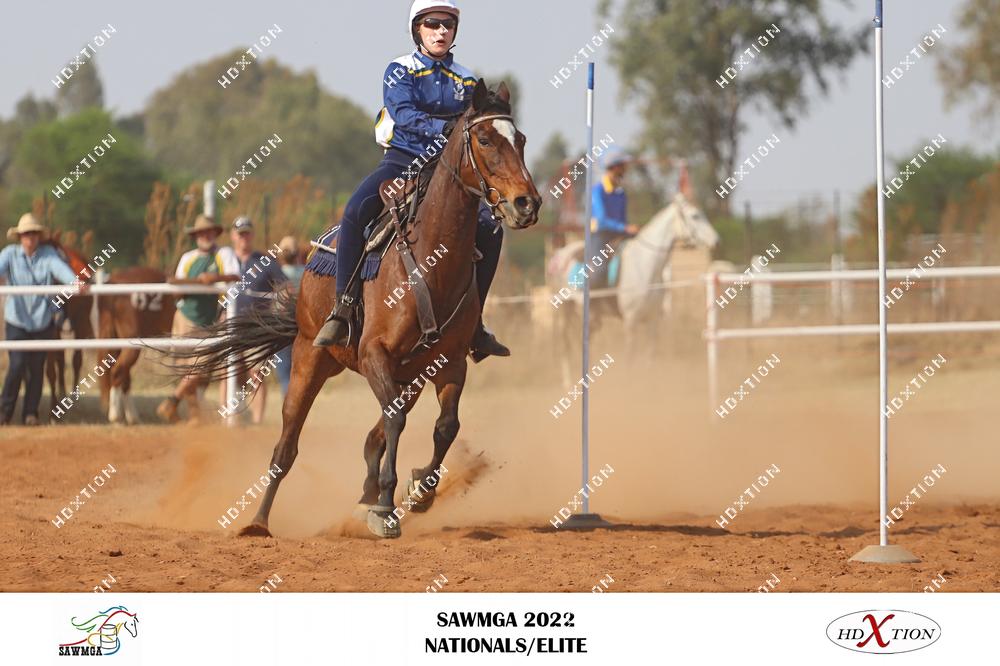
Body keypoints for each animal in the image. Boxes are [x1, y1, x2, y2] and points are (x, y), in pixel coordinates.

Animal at [174, 81, 540, 538]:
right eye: (487, 140)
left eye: (520, 139)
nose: (527, 203)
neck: (431, 260)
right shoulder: (373, 354)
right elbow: (396, 422)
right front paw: (385, 507)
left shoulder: (450, 362)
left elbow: (445, 427)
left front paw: (419, 491)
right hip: (310, 361)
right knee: (286, 448)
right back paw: (258, 522)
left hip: (408, 375)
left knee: (374, 435)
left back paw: (365, 494)